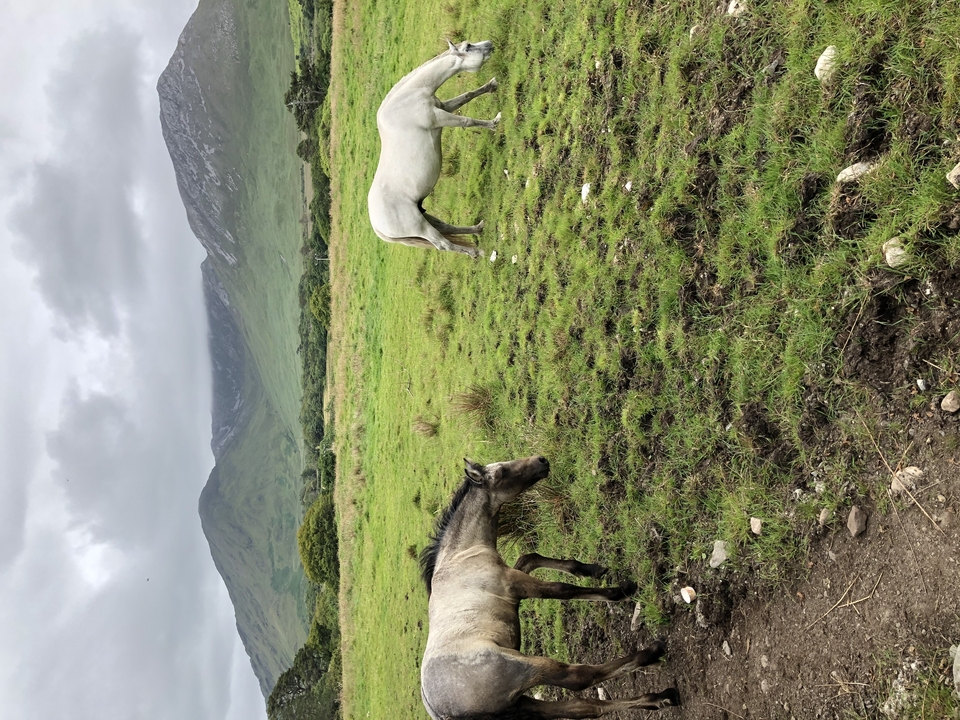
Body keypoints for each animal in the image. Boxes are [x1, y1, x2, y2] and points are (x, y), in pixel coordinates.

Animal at [368, 40, 501, 258]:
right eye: (468, 47)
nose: (489, 44)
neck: (408, 99)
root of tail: (378, 228)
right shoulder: (440, 117)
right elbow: (467, 121)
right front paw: (494, 123)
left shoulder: (444, 107)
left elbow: (467, 96)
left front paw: (491, 86)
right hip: (420, 227)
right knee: (443, 244)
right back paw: (477, 253)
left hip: (425, 217)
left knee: (447, 228)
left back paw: (478, 229)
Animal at [419, 456, 680, 719]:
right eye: (502, 472)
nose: (541, 460)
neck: (461, 556)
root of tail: (443, 712)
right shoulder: (515, 583)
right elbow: (563, 589)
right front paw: (619, 591)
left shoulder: (515, 575)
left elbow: (529, 557)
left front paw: (592, 569)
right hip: (527, 668)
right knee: (579, 677)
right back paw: (651, 654)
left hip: (520, 704)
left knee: (583, 707)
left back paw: (659, 698)